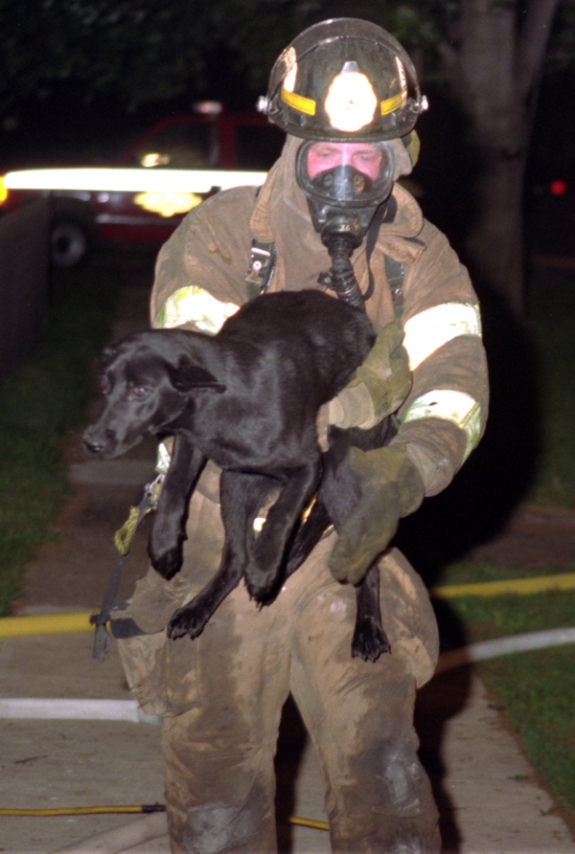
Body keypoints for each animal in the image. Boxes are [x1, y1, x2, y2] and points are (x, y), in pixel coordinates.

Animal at [83, 290, 392, 664]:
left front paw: (264, 570)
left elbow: (281, 514)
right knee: (234, 559)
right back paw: (196, 610)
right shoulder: (190, 443)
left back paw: (368, 631)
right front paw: (164, 544)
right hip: (233, 483)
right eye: (104, 384)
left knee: (367, 563)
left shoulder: (308, 465)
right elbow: (173, 489)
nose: (91, 443)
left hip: (339, 476)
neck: (216, 406)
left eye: (141, 391)